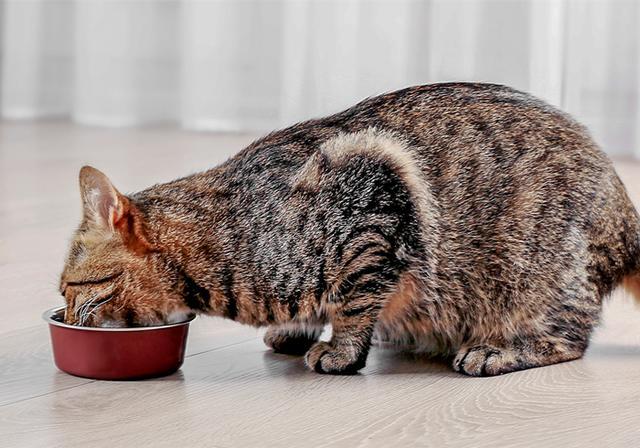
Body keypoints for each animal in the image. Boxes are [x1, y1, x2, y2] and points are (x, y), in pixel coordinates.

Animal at [58, 83, 640, 374]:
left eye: (68, 287)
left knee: (570, 337)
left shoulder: (376, 200)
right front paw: (298, 330)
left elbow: (356, 298)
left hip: (540, 276)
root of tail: (624, 211)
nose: (63, 314)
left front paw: (340, 350)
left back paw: (497, 349)